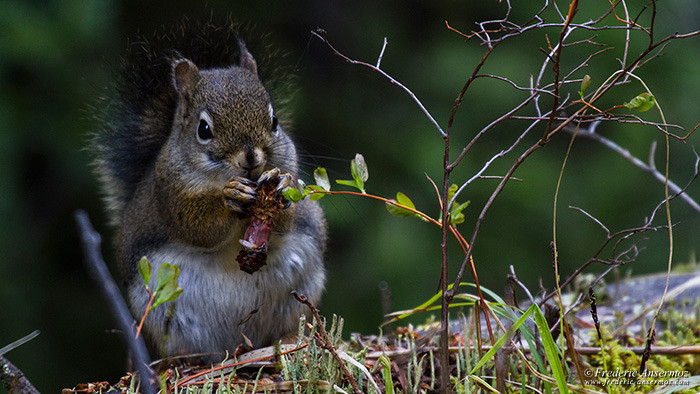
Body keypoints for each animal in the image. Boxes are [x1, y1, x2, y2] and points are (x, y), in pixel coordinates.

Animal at [91, 22, 328, 360]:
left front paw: (281, 185)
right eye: (204, 130)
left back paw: (289, 342)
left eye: (274, 121)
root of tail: (236, 346)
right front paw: (229, 198)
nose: (251, 159)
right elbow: (199, 227)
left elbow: (286, 221)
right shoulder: (169, 194)